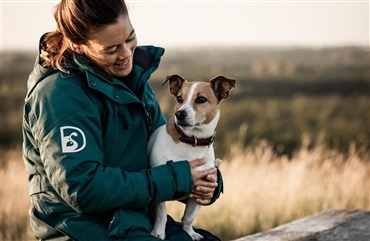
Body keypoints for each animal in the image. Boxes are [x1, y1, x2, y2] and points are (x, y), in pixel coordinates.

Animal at [147, 74, 234, 240]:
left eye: (201, 99)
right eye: (179, 98)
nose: (180, 114)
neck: (192, 141)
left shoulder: (200, 190)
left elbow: (189, 216)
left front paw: (189, 233)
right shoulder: (161, 190)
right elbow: (162, 214)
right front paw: (158, 232)